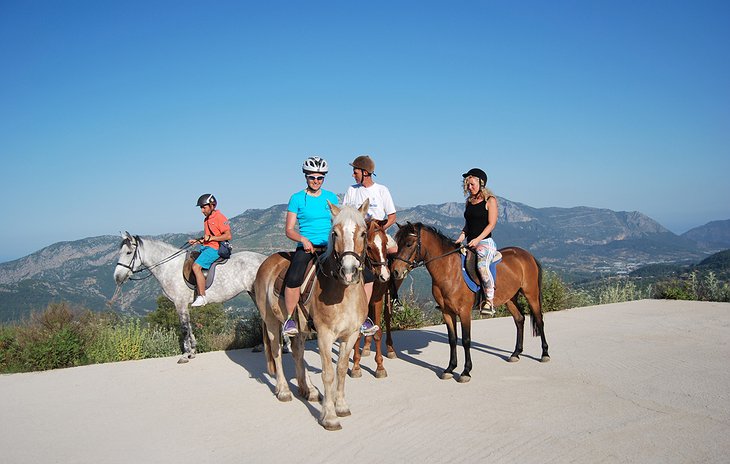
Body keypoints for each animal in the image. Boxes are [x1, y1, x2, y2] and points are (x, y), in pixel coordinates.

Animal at [115, 231, 268, 362]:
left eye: (129, 252)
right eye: (120, 252)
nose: (117, 277)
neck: (170, 266)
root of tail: (265, 259)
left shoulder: (180, 303)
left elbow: (184, 328)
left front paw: (185, 354)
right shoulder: (183, 305)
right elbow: (189, 326)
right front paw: (193, 351)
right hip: (254, 293)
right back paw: (261, 345)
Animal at [256, 201, 370, 430]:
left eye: (363, 233)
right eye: (335, 233)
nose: (349, 271)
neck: (342, 291)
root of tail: (267, 262)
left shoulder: (351, 335)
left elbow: (341, 369)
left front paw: (341, 406)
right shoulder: (325, 336)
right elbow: (328, 374)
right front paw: (329, 416)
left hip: (299, 328)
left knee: (298, 353)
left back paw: (307, 390)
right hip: (272, 323)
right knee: (277, 353)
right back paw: (284, 390)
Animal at [350, 219, 396, 378]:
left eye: (385, 243)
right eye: (368, 247)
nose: (385, 275)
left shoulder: (377, 300)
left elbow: (378, 333)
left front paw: (380, 367)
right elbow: (357, 335)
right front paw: (356, 367)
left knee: (387, 317)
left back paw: (390, 349)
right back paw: (365, 348)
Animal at [390, 223, 548, 382]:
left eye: (409, 244)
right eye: (398, 243)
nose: (395, 271)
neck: (448, 270)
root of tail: (527, 255)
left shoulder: (464, 312)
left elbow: (466, 340)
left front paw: (466, 372)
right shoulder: (447, 312)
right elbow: (452, 339)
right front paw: (450, 368)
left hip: (531, 294)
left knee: (539, 320)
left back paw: (545, 354)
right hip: (510, 298)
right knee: (519, 319)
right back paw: (516, 353)